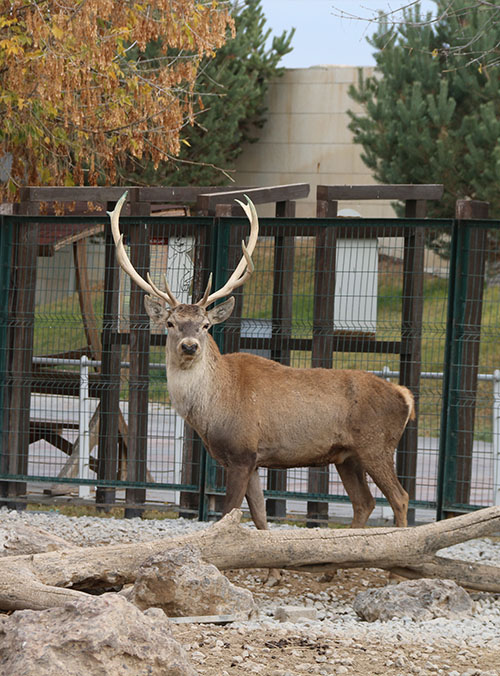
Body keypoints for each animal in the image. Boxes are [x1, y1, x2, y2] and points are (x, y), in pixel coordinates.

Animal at [109, 193, 414, 540]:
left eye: (205, 325)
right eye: (171, 323)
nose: (189, 346)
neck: (213, 408)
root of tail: (405, 397)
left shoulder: (242, 452)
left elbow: (229, 512)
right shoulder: (254, 460)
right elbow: (260, 518)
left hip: (376, 445)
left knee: (400, 498)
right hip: (348, 456)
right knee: (364, 502)